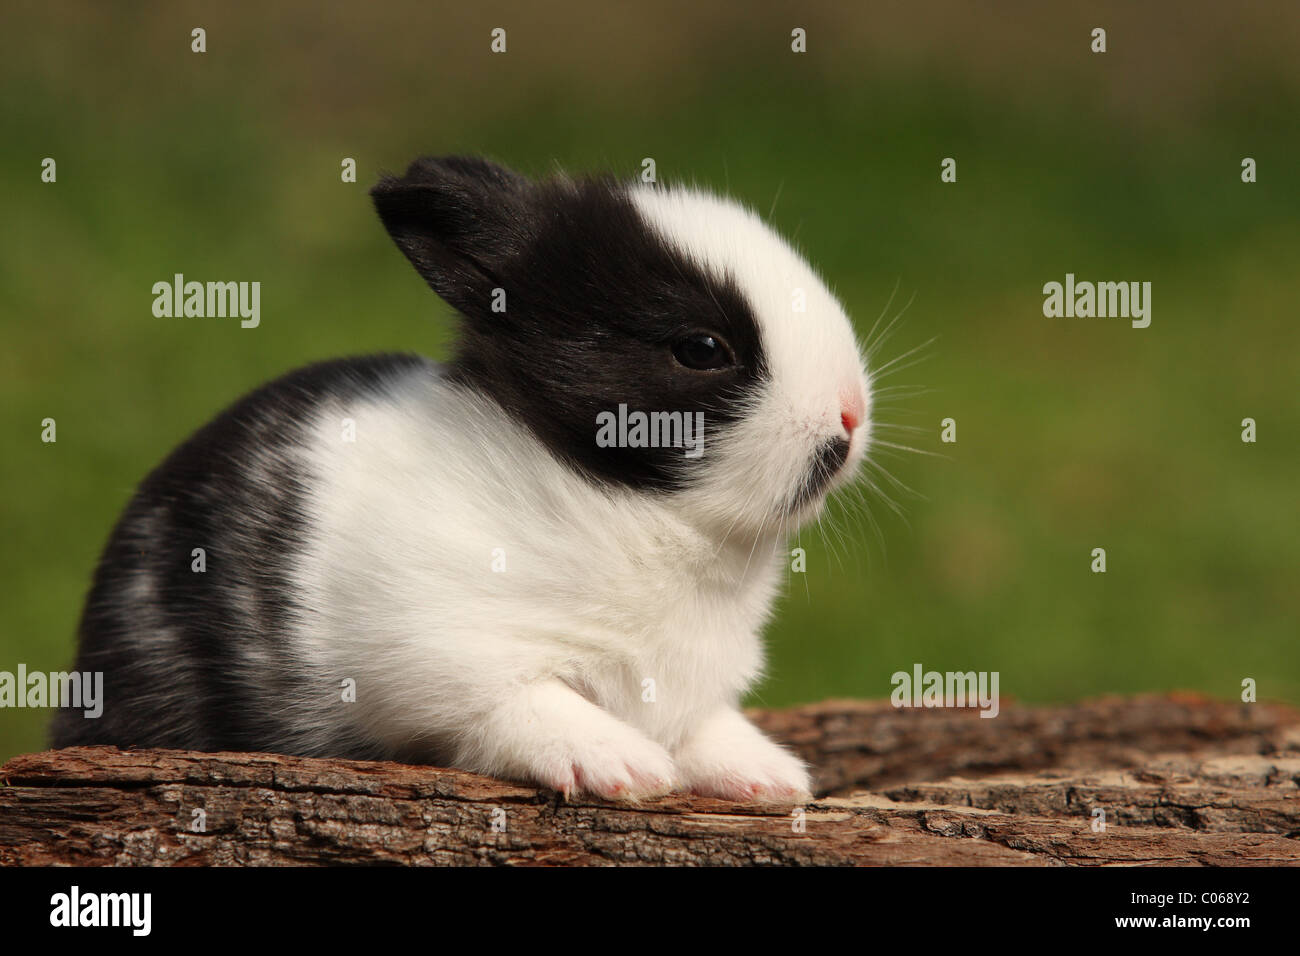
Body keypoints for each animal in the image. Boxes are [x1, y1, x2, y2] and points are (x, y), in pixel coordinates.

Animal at [58, 155, 873, 801]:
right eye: (701, 348)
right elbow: (526, 706)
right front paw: (621, 766)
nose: (851, 414)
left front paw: (769, 776)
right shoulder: (439, 656)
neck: (617, 503)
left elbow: (704, 725)